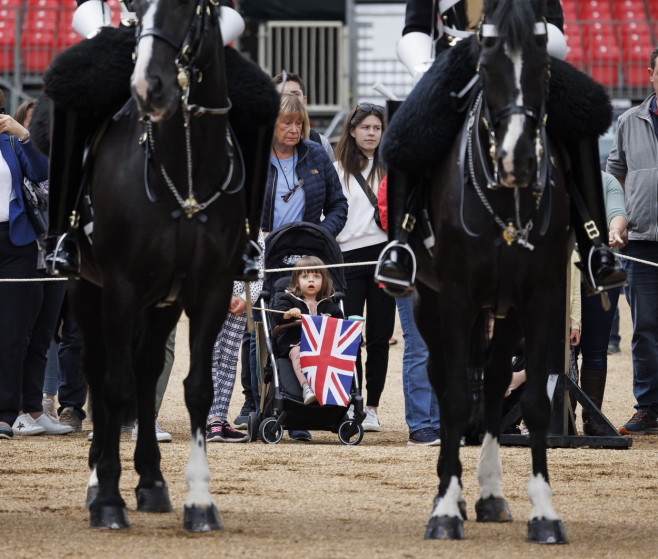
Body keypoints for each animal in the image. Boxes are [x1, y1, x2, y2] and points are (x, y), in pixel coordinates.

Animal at [67, 0, 256, 532]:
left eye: (188, 8)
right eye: (136, 7)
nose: (148, 88)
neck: (185, 170)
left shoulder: (209, 291)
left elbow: (196, 389)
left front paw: (200, 502)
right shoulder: (120, 288)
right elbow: (113, 387)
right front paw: (108, 498)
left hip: (163, 304)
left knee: (148, 368)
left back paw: (151, 481)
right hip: (87, 290)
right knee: (98, 372)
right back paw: (98, 481)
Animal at [416, 0, 568, 544]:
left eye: (544, 67)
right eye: (485, 67)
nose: (516, 159)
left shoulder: (542, 296)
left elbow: (536, 402)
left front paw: (544, 514)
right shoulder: (455, 295)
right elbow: (459, 398)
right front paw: (445, 509)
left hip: (506, 312)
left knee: (500, 376)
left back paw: (488, 493)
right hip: (426, 301)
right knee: (444, 380)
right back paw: (455, 494)